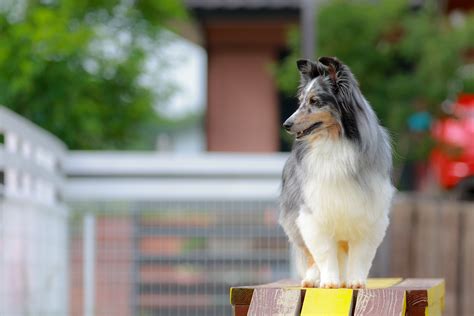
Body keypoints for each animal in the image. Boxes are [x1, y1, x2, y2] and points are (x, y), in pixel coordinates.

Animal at [280, 56, 394, 288]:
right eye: (301, 101)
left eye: (314, 101)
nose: (286, 124)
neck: (335, 141)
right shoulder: (314, 215)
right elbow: (324, 253)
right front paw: (330, 283)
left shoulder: (368, 216)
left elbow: (360, 255)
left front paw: (356, 282)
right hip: (294, 220)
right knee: (311, 254)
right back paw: (312, 279)